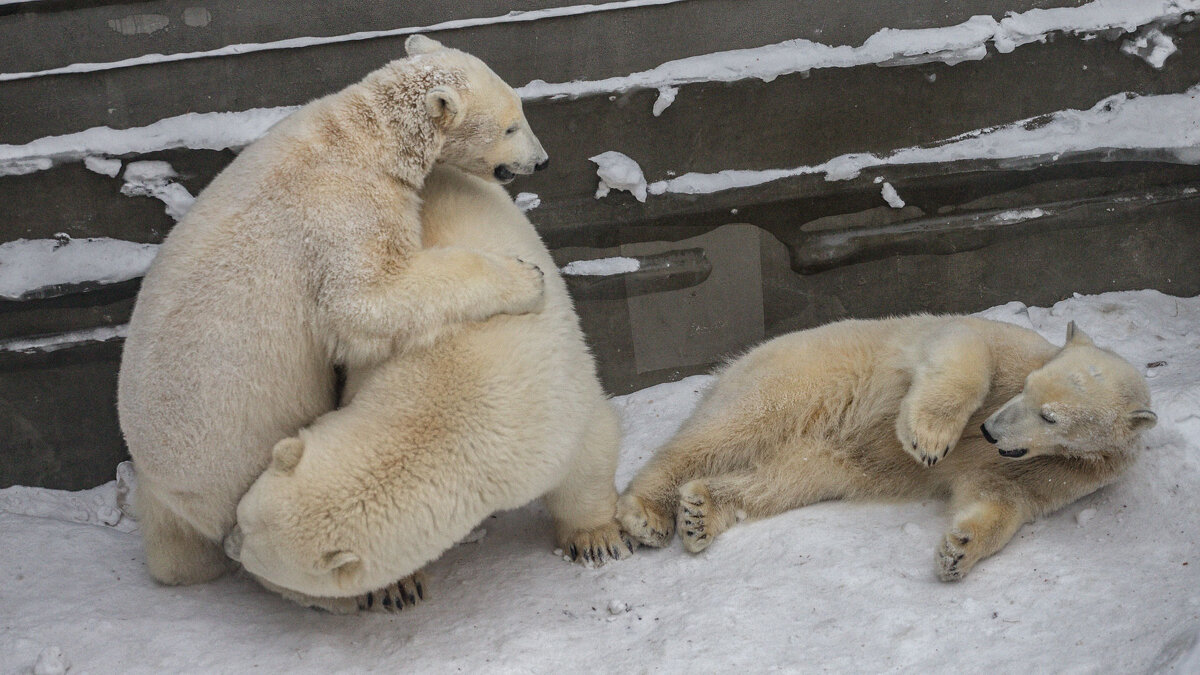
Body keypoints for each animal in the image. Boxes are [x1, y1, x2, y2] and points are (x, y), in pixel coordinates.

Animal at [119, 36, 549, 598]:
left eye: (520, 112)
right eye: (511, 126)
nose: (542, 162)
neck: (361, 135)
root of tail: (156, 481)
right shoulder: (341, 213)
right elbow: (370, 300)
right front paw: (526, 278)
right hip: (229, 454)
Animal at [226, 165, 638, 607]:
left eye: (248, 543)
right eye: (243, 520)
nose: (228, 546)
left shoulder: (549, 413)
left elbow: (589, 450)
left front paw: (596, 540)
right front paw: (398, 589)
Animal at [619, 314, 1152, 578]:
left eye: (1051, 417)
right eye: (1026, 388)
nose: (990, 432)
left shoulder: (1069, 470)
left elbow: (1002, 494)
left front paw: (957, 552)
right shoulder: (1008, 347)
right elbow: (964, 346)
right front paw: (929, 438)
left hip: (827, 454)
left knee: (787, 478)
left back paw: (700, 512)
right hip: (803, 375)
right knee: (730, 428)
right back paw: (647, 514)